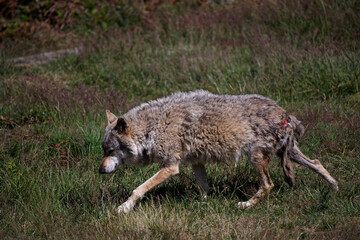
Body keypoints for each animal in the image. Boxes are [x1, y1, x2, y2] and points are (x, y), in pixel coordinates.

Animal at [97, 90, 338, 214]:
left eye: (110, 150)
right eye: (104, 150)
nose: (99, 171)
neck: (152, 128)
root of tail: (285, 113)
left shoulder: (170, 167)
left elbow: (139, 189)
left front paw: (124, 208)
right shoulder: (196, 162)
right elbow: (204, 188)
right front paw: (202, 204)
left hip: (256, 158)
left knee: (268, 185)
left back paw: (245, 205)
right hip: (288, 155)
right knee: (317, 162)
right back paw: (334, 188)